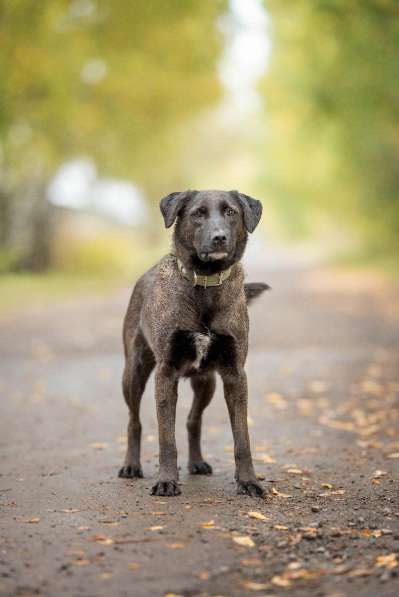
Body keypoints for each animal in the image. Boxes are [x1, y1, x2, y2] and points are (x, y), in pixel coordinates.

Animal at [119, 189, 268, 496]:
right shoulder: (165, 374)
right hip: (134, 373)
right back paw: (131, 465)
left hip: (206, 382)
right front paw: (166, 480)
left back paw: (197, 462)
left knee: (193, 420)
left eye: (231, 212)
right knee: (133, 420)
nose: (219, 237)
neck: (205, 285)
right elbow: (166, 439)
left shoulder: (235, 375)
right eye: (197, 213)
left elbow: (242, 439)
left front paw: (248, 481)